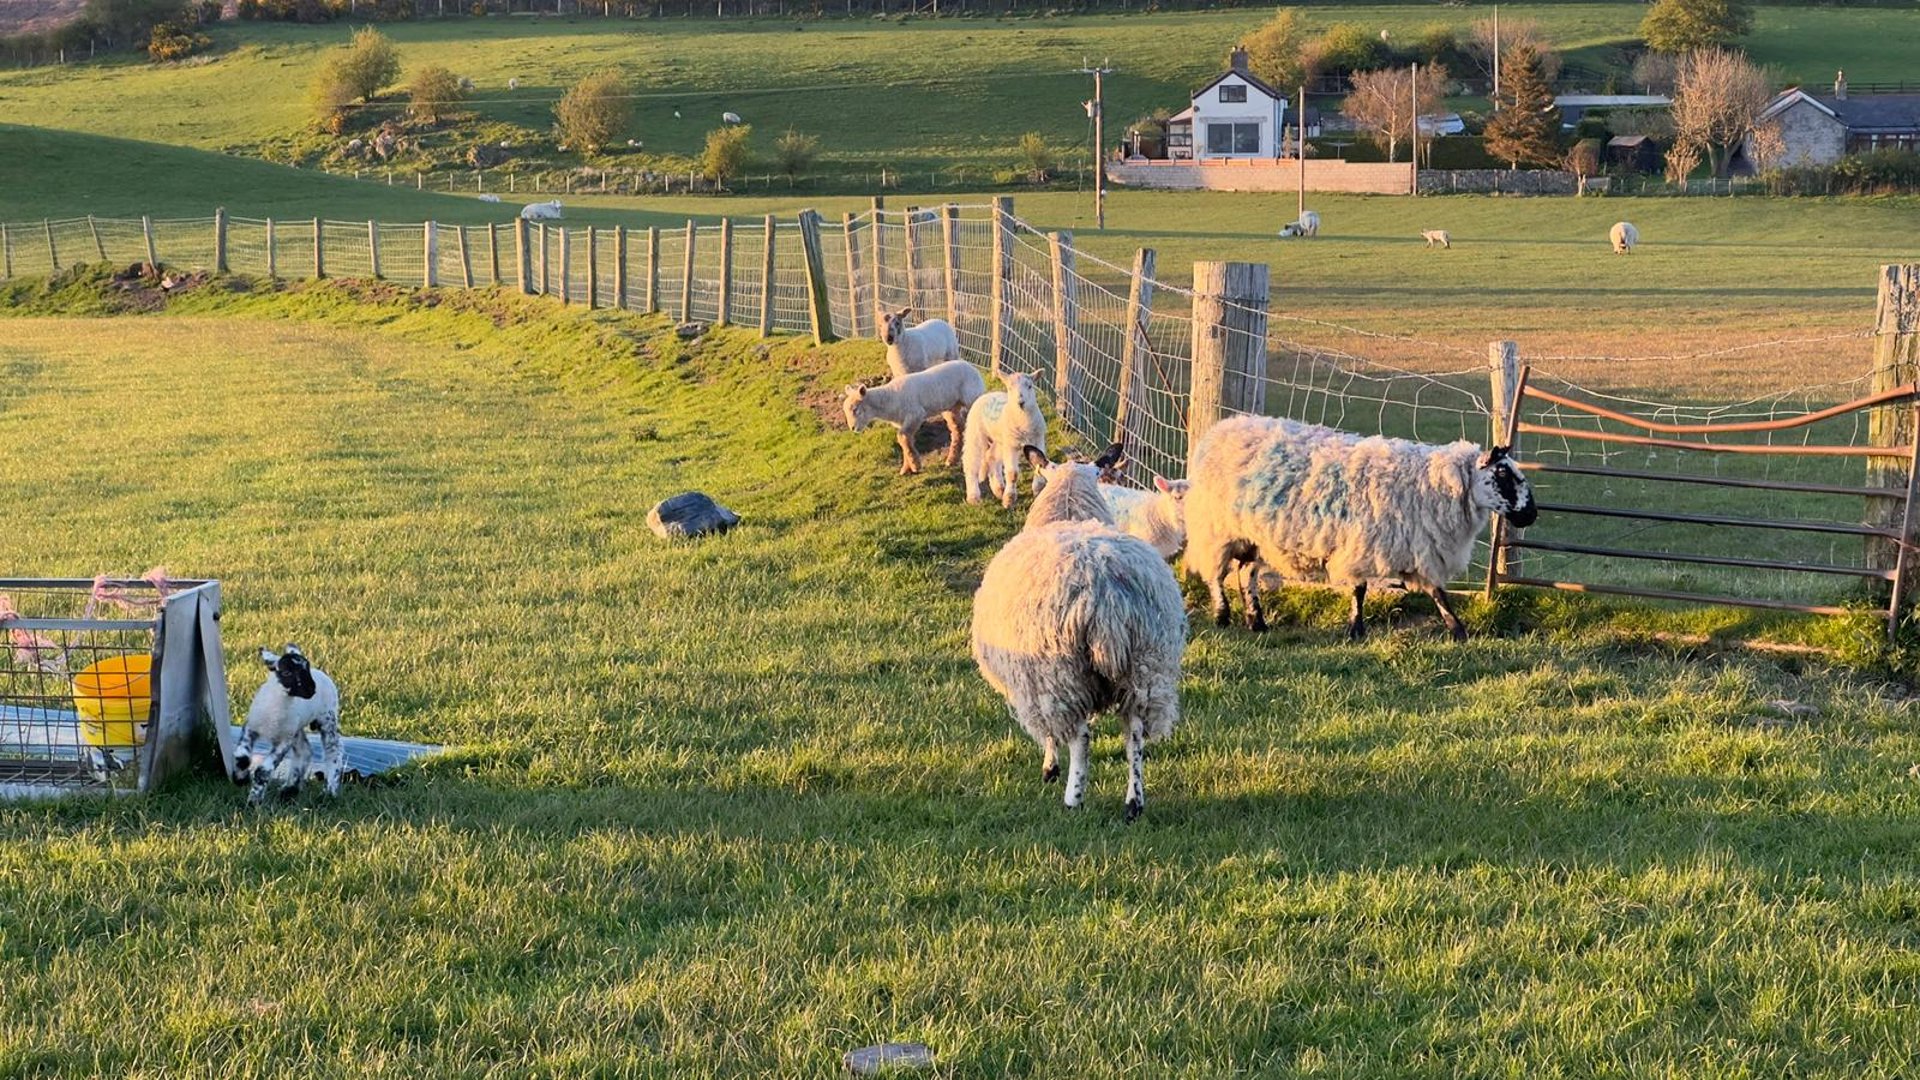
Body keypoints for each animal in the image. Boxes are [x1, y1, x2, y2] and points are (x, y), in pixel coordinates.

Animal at [234, 646, 343, 805]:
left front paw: (253, 802)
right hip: (296, 728)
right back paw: (289, 790)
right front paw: (240, 779)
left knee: (334, 751)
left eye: (307, 669)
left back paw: (328, 792)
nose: (311, 690)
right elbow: (241, 756)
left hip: (328, 719)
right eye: (287, 672)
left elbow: (263, 771)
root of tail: (321, 673)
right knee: (305, 751)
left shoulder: (283, 741)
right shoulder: (250, 728)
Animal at [843, 360, 986, 475]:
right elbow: (905, 441)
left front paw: (915, 466)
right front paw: (906, 469)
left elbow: (902, 437)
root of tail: (973, 368)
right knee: (957, 428)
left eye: (855, 410)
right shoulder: (903, 421)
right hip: (952, 406)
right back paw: (952, 460)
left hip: (972, 395)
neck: (890, 399)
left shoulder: (916, 414)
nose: (853, 428)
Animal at [962, 371, 1048, 508]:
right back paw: (973, 496)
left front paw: (1038, 490)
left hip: (1001, 440)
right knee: (971, 463)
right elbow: (1013, 474)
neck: (1024, 423)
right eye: (1009, 388)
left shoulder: (1038, 439)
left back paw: (998, 489)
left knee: (991, 457)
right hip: (975, 431)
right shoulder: (1012, 445)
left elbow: (1039, 463)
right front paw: (1009, 499)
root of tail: (988, 394)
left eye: (1030, 386)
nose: (1020, 402)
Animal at [971, 452, 1187, 822]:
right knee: (1134, 734)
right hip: (1147, 667)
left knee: (1080, 735)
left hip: (1058, 674)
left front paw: (1050, 768)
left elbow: (1049, 734)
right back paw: (1133, 803)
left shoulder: (1032, 681)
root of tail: (1106, 592)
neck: (1068, 509)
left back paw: (1073, 797)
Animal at [1183, 416, 1537, 641]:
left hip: (1254, 537)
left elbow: (1438, 593)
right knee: (1216, 573)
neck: (1433, 486)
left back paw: (1256, 622)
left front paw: (1458, 630)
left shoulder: (1421, 548)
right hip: (1218, 529)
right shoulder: (1362, 546)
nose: (1531, 515)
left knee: (1246, 574)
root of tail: (1222, 428)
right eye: (1503, 474)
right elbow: (1359, 589)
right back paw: (1222, 616)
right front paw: (1356, 629)